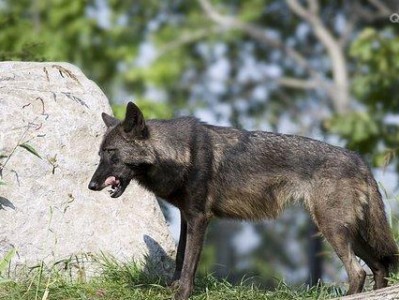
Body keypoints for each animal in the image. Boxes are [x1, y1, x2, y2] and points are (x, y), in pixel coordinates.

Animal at [89, 102, 398, 298]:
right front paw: (172, 290)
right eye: (100, 153)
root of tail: (359, 159)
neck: (181, 154)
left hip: (333, 229)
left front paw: (182, 294)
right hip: (352, 232)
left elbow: (189, 264)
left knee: (358, 272)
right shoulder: (188, 218)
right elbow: (180, 257)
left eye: (112, 153)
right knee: (380, 267)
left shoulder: (200, 218)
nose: (91, 185)